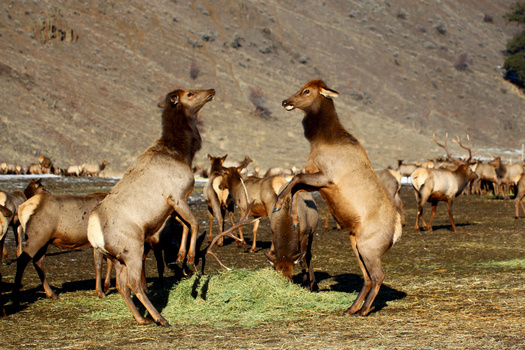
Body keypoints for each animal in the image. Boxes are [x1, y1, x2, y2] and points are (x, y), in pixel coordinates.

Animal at [87, 87, 214, 326]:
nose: (211, 90)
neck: (183, 153)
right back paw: (159, 318)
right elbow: (193, 223)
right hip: (133, 248)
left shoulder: (172, 204)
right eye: (190, 94)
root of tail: (93, 235)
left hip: (117, 257)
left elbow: (185, 226)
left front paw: (181, 257)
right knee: (134, 284)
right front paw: (190, 259)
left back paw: (141, 319)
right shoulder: (176, 195)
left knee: (121, 285)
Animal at [270, 80, 402, 318]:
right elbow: (295, 187)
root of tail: (397, 231)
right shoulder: (319, 181)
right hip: (355, 242)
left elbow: (295, 179)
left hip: (369, 247)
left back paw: (363, 310)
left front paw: (278, 205)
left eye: (307, 90)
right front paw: (292, 218)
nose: (286, 101)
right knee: (367, 277)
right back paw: (351, 308)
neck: (321, 140)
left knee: (378, 275)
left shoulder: (327, 176)